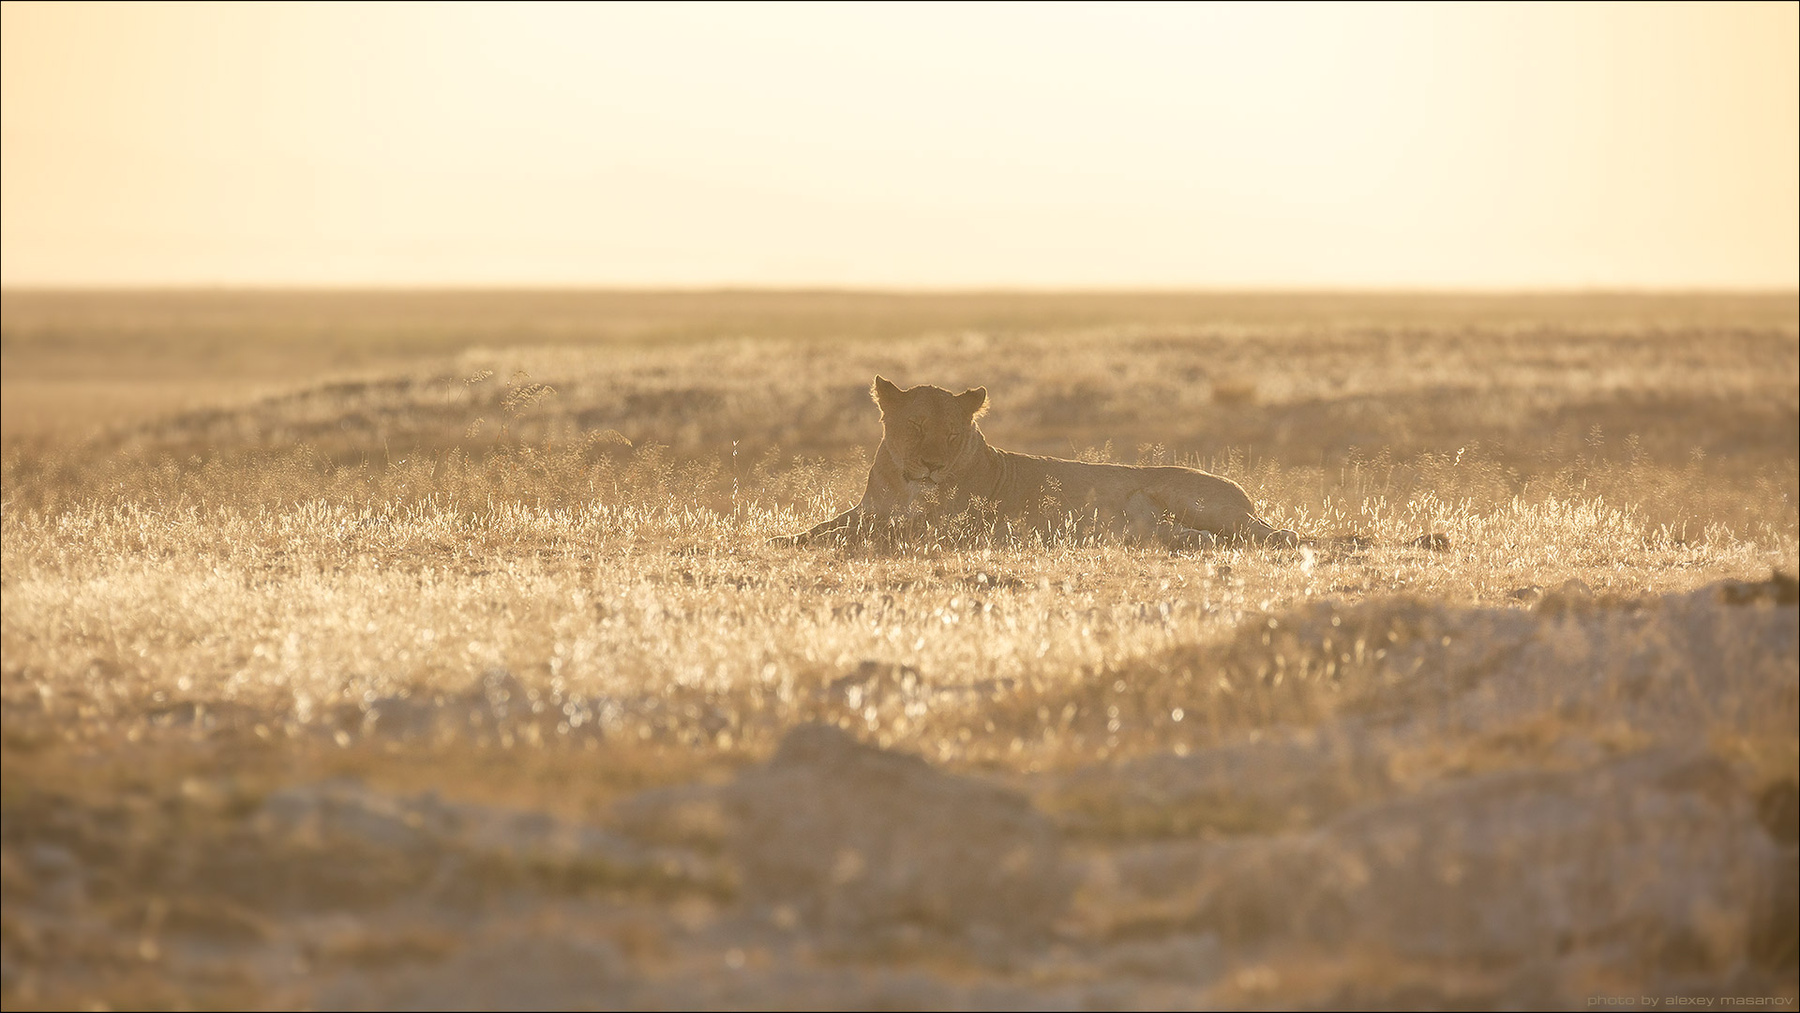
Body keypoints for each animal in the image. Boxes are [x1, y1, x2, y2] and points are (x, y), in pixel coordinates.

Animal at [771, 377, 1299, 549]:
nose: (932, 466)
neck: (905, 484)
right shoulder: (870, 508)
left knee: (1277, 533)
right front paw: (784, 538)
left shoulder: (944, 526)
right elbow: (830, 525)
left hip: (1197, 499)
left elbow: (868, 533)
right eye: (916, 426)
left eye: (952, 433)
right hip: (1148, 524)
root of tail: (1243, 492)